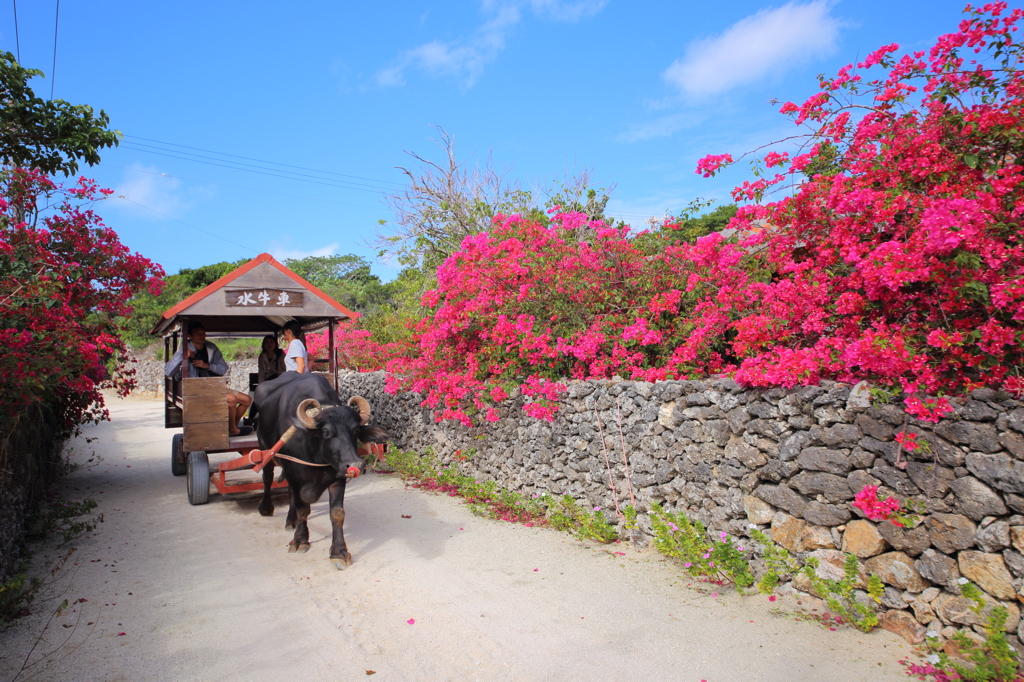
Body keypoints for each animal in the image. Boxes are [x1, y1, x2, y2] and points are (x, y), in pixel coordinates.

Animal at [252, 372, 387, 569]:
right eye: (326, 432)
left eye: (355, 431)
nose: (355, 464)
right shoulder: (294, 474)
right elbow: (303, 510)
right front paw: (300, 541)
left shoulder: (337, 478)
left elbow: (337, 514)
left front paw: (339, 552)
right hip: (265, 450)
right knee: (268, 478)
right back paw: (266, 508)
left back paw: (290, 521)